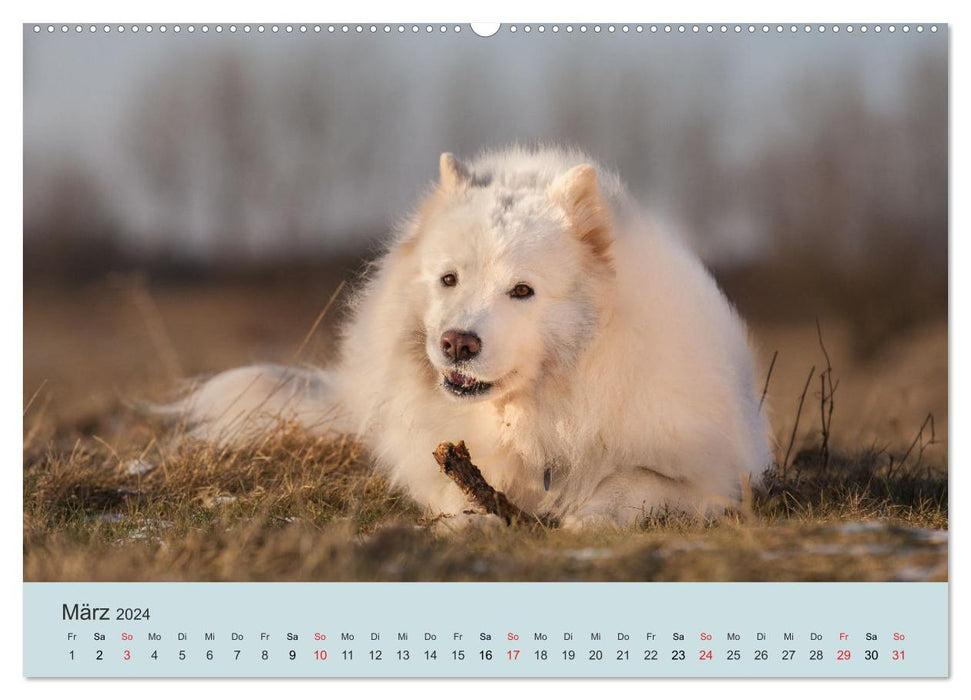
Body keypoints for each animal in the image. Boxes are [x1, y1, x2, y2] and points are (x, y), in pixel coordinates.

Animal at [173, 145, 768, 524]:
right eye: (449, 279)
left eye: (522, 291)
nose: (458, 343)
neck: (538, 412)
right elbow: (461, 495)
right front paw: (472, 520)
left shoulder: (711, 475)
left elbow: (628, 485)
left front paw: (586, 519)